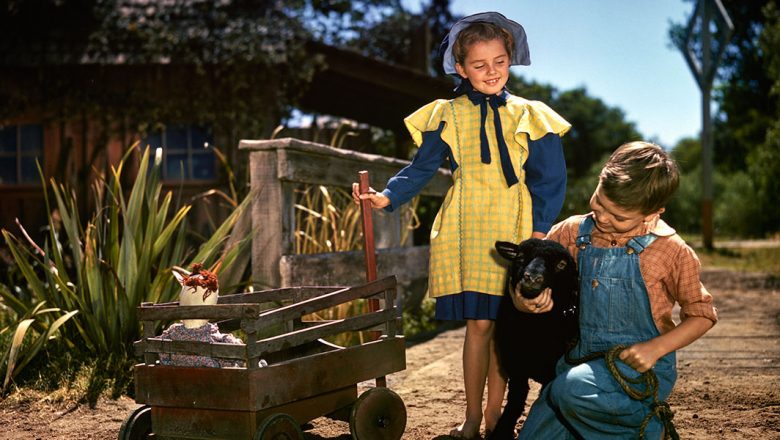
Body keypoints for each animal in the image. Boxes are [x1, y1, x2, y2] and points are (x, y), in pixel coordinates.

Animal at [490, 239, 576, 438]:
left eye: (561, 265)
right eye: (520, 257)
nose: (532, 277)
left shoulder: (552, 371)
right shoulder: (515, 367)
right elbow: (515, 400)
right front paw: (502, 430)